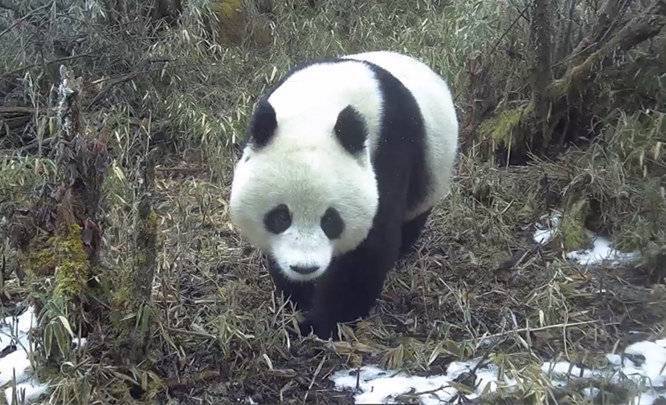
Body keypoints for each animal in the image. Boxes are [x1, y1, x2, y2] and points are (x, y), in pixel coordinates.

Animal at [228, 50, 456, 338]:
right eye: (280, 217)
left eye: (330, 220)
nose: (305, 268)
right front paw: (297, 300)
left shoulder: (392, 144)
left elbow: (370, 247)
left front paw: (320, 323)